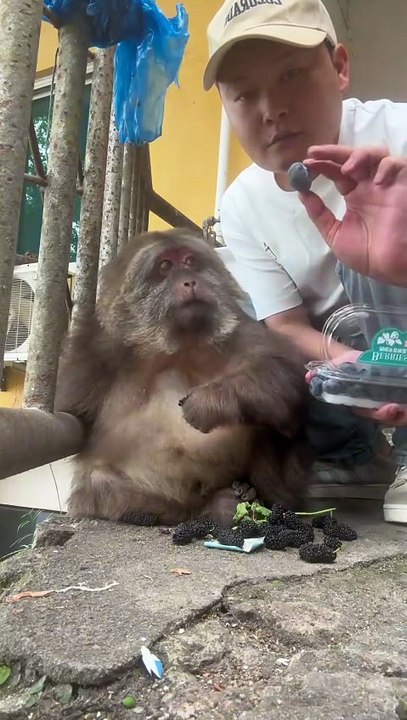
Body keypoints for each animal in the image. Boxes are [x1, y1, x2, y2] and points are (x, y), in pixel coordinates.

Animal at [55, 228, 313, 527]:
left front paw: (212, 401)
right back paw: (215, 508)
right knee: (99, 485)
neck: (179, 346)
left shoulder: (244, 331)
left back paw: (259, 498)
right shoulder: (93, 357)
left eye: (190, 261)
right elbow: (68, 414)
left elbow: (289, 379)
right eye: (165, 266)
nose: (190, 281)